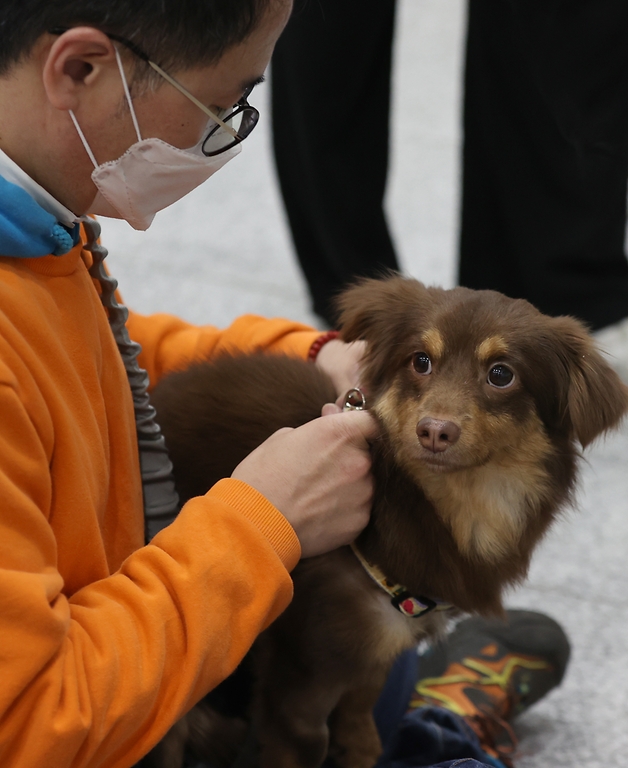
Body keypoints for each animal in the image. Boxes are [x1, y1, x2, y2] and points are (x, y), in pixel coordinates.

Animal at [146, 276, 628, 768]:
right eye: (421, 361)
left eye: (501, 374)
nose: (434, 431)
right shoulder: (298, 684)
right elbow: (308, 738)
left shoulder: (377, 648)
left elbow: (363, 714)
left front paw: (360, 745)